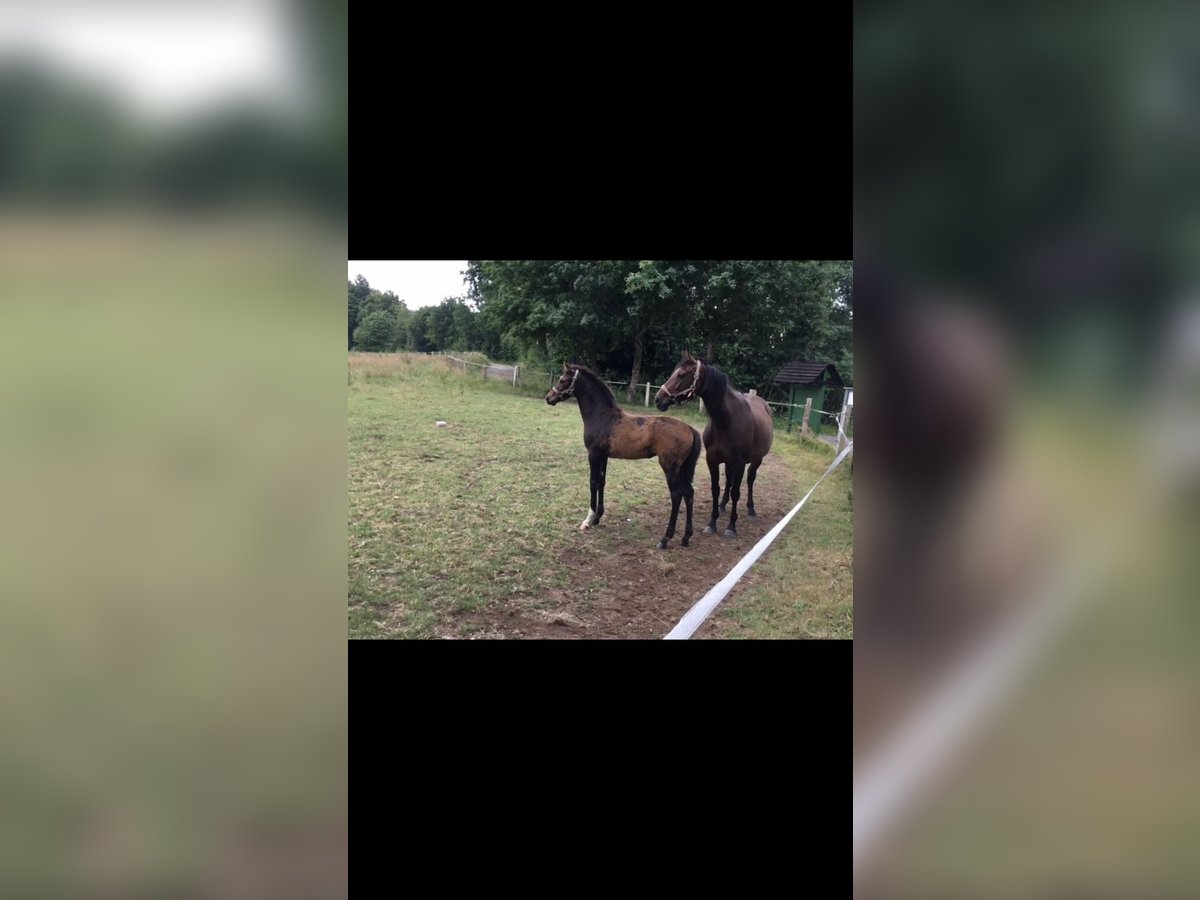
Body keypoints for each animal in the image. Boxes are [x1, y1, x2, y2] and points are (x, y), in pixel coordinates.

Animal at [657, 352, 777, 535]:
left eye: (681, 374)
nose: (658, 399)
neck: (726, 420)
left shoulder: (739, 462)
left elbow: (736, 492)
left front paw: (731, 526)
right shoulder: (712, 459)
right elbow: (716, 488)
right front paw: (712, 522)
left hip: (757, 459)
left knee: (750, 479)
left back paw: (751, 509)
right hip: (728, 462)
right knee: (728, 480)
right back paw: (722, 505)